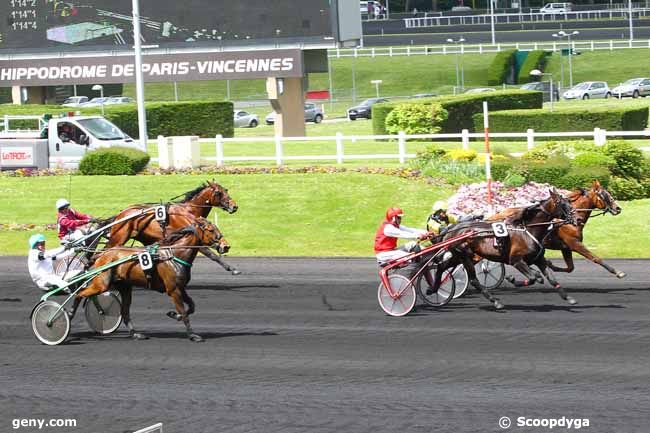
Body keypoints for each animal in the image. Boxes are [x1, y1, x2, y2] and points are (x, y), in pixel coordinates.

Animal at [70, 218, 228, 342]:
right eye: (211, 230)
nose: (226, 246)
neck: (175, 255)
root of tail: (103, 255)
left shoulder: (181, 287)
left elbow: (192, 306)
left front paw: (174, 314)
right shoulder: (173, 290)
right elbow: (184, 313)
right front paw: (193, 335)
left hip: (125, 288)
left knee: (125, 312)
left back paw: (135, 334)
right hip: (101, 284)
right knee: (79, 294)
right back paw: (69, 315)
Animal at [105, 181, 239, 276]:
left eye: (226, 190)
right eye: (218, 192)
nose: (234, 206)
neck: (189, 211)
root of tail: (121, 214)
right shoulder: (196, 237)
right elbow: (212, 255)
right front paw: (232, 268)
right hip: (119, 237)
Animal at [430, 188, 572, 308]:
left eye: (569, 202)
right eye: (562, 203)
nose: (573, 217)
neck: (527, 231)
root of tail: (452, 229)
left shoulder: (538, 259)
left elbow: (551, 279)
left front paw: (568, 298)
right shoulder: (516, 261)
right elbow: (532, 278)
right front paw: (512, 279)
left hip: (458, 256)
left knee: (441, 267)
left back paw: (432, 289)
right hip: (464, 256)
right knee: (473, 280)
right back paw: (495, 301)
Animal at [492, 181, 624, 278]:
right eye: (605, 195)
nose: (618, 208)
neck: (569, 221)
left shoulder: (565, 247)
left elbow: (570, 268)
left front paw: (550, 265)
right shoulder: (574, 243)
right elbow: (595, 257)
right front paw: (618, 272)